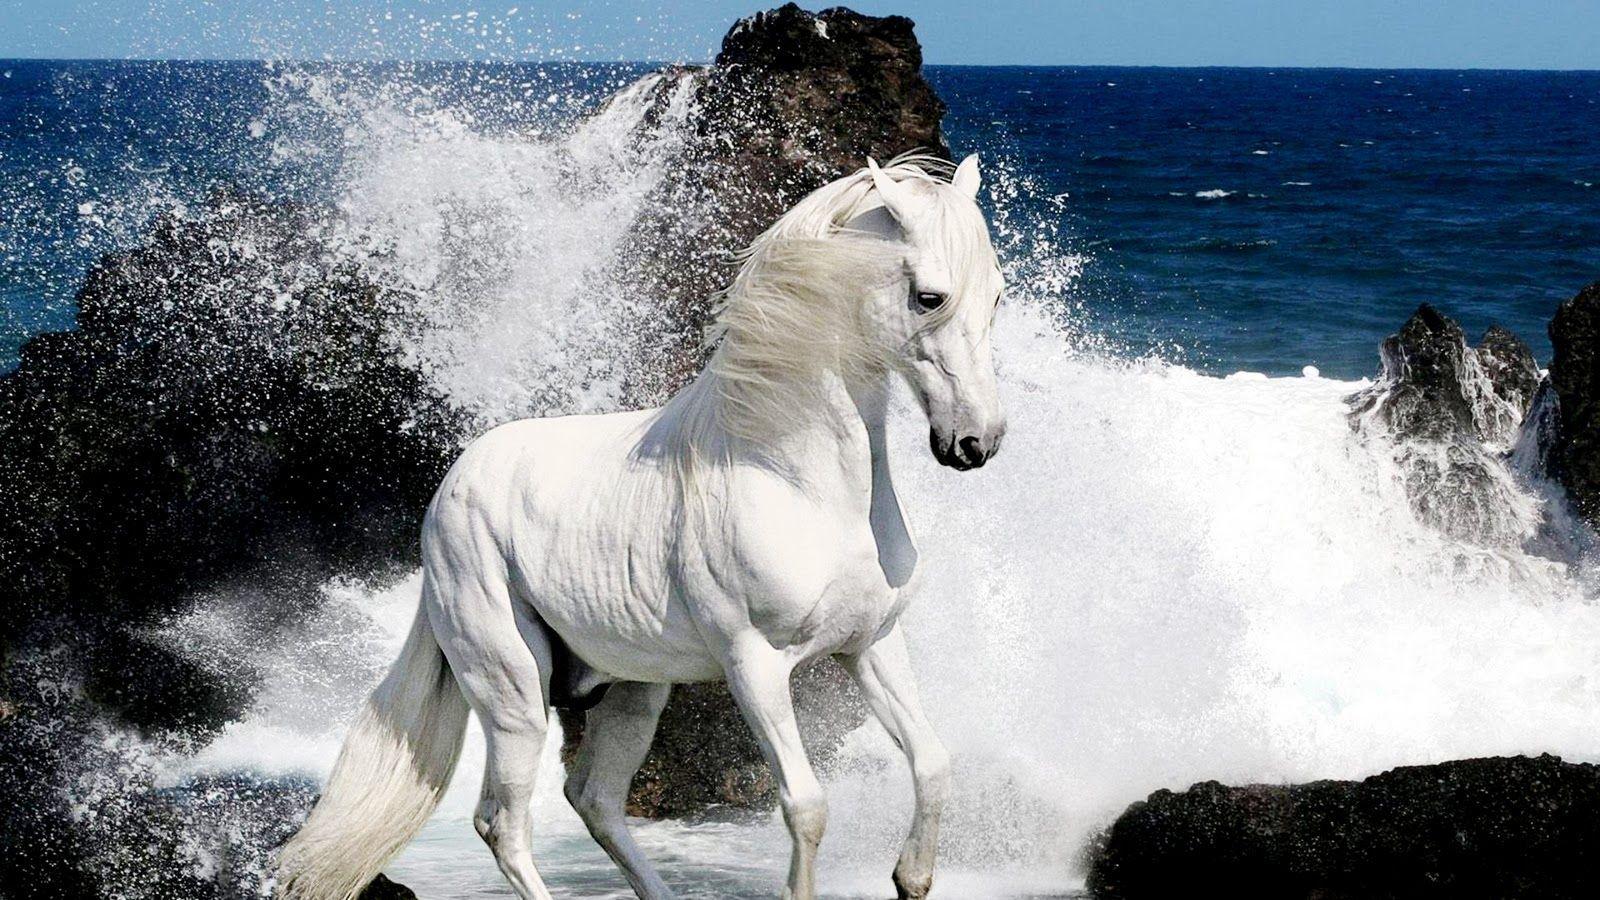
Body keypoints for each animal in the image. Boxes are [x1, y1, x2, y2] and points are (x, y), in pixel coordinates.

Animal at [276, 153, 1007, 900]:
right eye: (929, 297)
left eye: (997, 297)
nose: (974, 443)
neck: (794, 478)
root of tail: (449, 491)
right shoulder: (754, 666)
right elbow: (806, 806)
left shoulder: (870, 645)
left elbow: (933, 763)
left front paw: (910, 877)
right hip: (513, 693)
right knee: (502, 824)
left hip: (633, 690)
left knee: (594, 799)